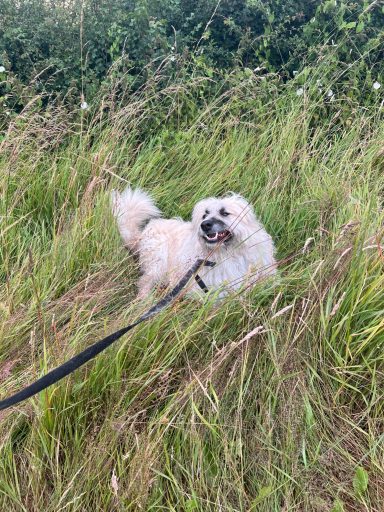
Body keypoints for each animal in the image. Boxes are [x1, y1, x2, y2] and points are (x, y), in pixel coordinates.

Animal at [111, 187, 276, 298]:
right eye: (205, 215)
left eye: (224, 213)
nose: (205, 225)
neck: (227, 253)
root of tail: (145, 232)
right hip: (158, 263)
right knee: (145, 282)